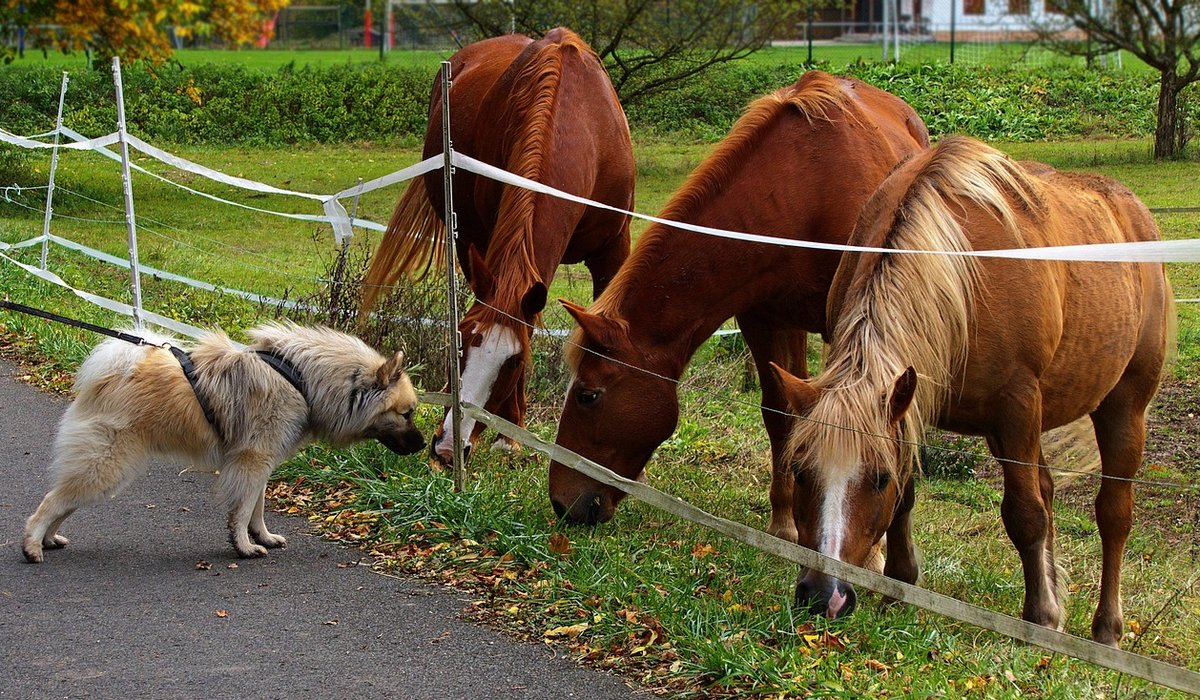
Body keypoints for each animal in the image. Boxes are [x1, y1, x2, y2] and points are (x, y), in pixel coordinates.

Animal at [361, 28, 635, 466]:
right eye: (458, 341)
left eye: (515, 362)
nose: (447, 448)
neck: (578, 122)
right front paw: (511, 434)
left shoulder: (612, 251)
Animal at [549, 72, 930, 539]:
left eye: (587, 395)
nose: (562, 502)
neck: (801, 190)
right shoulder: (763, 320)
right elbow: (780, 414)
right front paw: (786, 523)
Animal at [769, 136, 1171, 646]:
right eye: (800, 472)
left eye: (877, 478)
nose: (823, 596)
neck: (959, 273)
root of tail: (1132, 209)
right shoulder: (912, 405)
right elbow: (911, 499)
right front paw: (901, 584)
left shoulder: (1018, 406)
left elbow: (1026, 515)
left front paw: (1039, 618)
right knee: (1050, 491)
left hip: (1122, 408)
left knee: (1113, 515)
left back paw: (1105, 631)